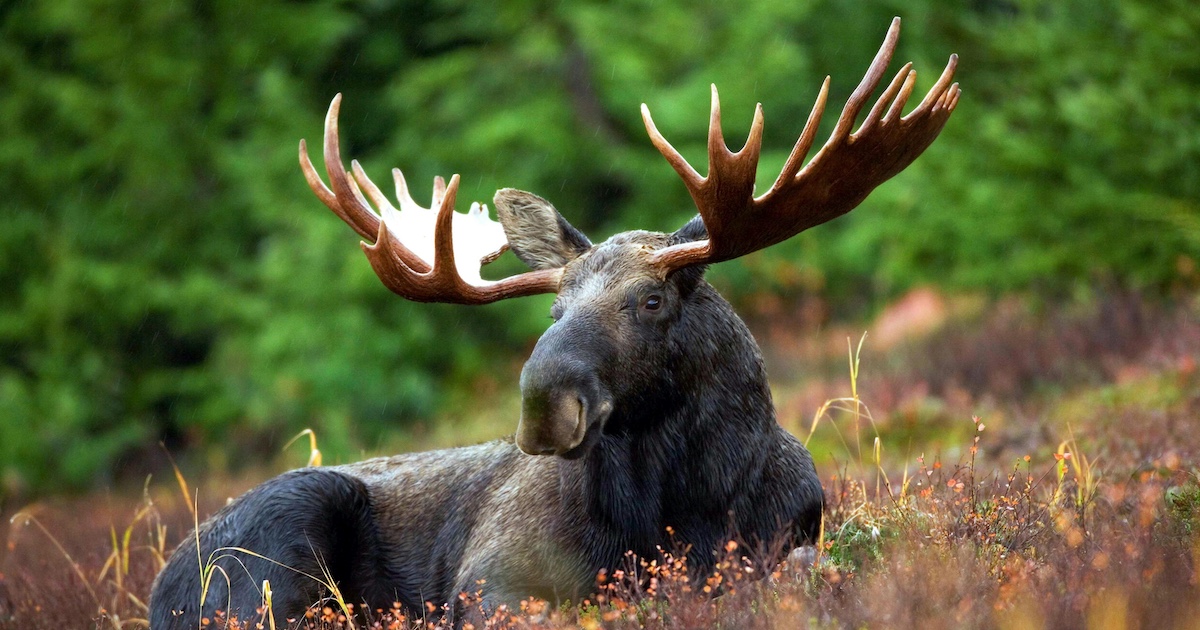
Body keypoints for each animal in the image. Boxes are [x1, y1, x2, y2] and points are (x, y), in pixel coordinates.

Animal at [149, 17, 958, 628]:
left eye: (652, 300)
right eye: (554, 308)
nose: (543, 404)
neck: (682, 510)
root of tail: (161, 586)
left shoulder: (792, 535)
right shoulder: (492, 579)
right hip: (279, 538)